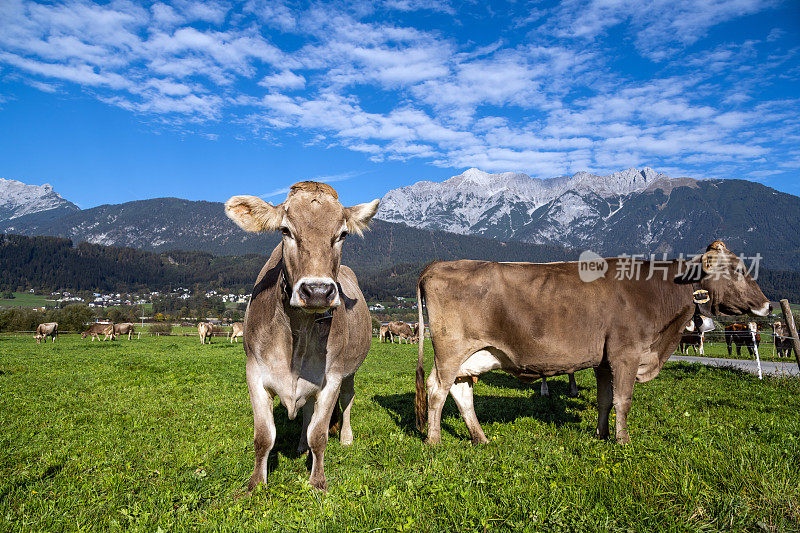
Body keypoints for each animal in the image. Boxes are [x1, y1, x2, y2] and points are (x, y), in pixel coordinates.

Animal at [222, 180, 378, 490]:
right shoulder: (254, 373)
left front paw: (317, 482)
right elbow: (263, 436)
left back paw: (346, 437)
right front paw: (255, 484)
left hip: (351, 371)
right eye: (285, 230)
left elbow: (320, 435)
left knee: (347, 399)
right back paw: (301, 445)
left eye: (343, 234)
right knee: (307, 410)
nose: (317, 291)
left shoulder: (332, 377)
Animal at [412, 241, 768, 444]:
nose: (766, 305)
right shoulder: (626, 354)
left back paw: (480, 438)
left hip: (471, 357)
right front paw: (623, 442)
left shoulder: (604, 360)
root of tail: (438, 265)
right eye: (738, 269)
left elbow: (604, 400)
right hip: (450, 351)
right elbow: (623, 400)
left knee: (460, 392)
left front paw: (602, 435)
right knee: (437, 389)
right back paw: (434, 442)